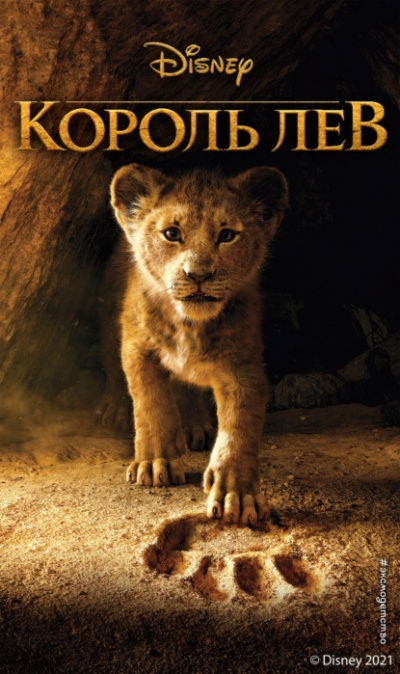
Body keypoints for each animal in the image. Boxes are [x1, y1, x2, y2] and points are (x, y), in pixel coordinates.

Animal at [98, 163, 288, 526]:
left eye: (227, 235)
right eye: (172, 233)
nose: (198, 274)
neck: (189, 325)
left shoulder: (243, 366)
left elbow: (240, 426)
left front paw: (237, 495)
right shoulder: (137, 348)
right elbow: (150, 402)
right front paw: (154, 463)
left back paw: (194, 425)